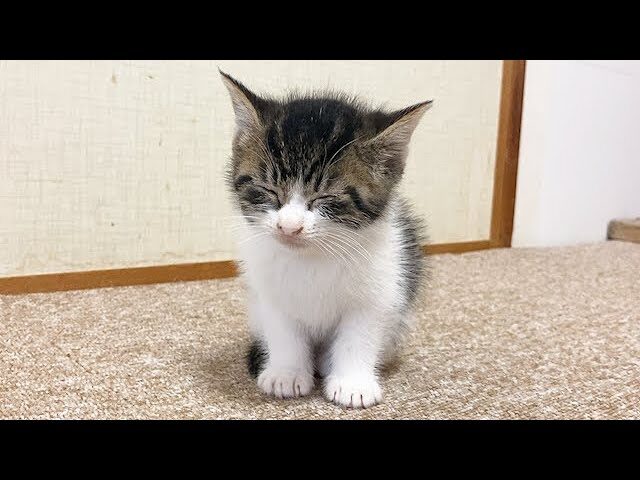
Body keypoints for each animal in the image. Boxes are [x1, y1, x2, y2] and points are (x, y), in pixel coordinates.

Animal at [221, 70, 431, 408]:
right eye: (269, 190)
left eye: (326, 198)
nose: (289, 227)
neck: (312, 258)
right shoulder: (269, 292)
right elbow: (283, 331)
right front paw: (286, 373)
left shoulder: (380, 289)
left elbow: (359, 334)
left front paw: (352, 384)